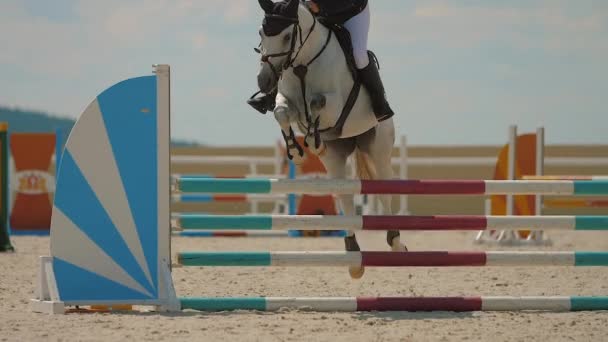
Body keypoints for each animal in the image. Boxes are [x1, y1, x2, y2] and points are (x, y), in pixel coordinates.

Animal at [254, 0, 406, 278]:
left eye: (287, 36)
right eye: (261, 33)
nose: (264, 80)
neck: (303, 63)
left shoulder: (336, 105)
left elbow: (317, 102)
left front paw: (313, 138)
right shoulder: (285, 99)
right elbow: (282, 112)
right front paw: (296, 148)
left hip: (378, 149)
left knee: (384, 190)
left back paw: (396, 242)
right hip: (336, 158)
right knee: (344, 196)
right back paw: (353, 255)